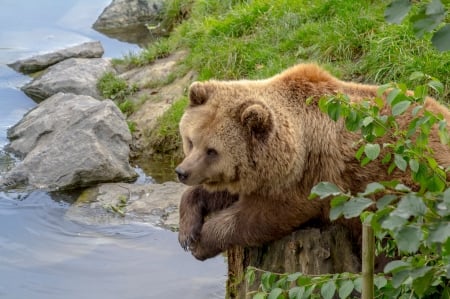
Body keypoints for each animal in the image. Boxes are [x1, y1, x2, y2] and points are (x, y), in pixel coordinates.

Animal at [175, 63, 450, 262]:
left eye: (212, 151)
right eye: (191, 140)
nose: (182, 172)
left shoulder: (309, 180)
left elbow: (259, 217)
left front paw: (203, 241)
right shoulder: (260, 177)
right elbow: (221, 192)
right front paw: (187, 231)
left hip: (409, 191)